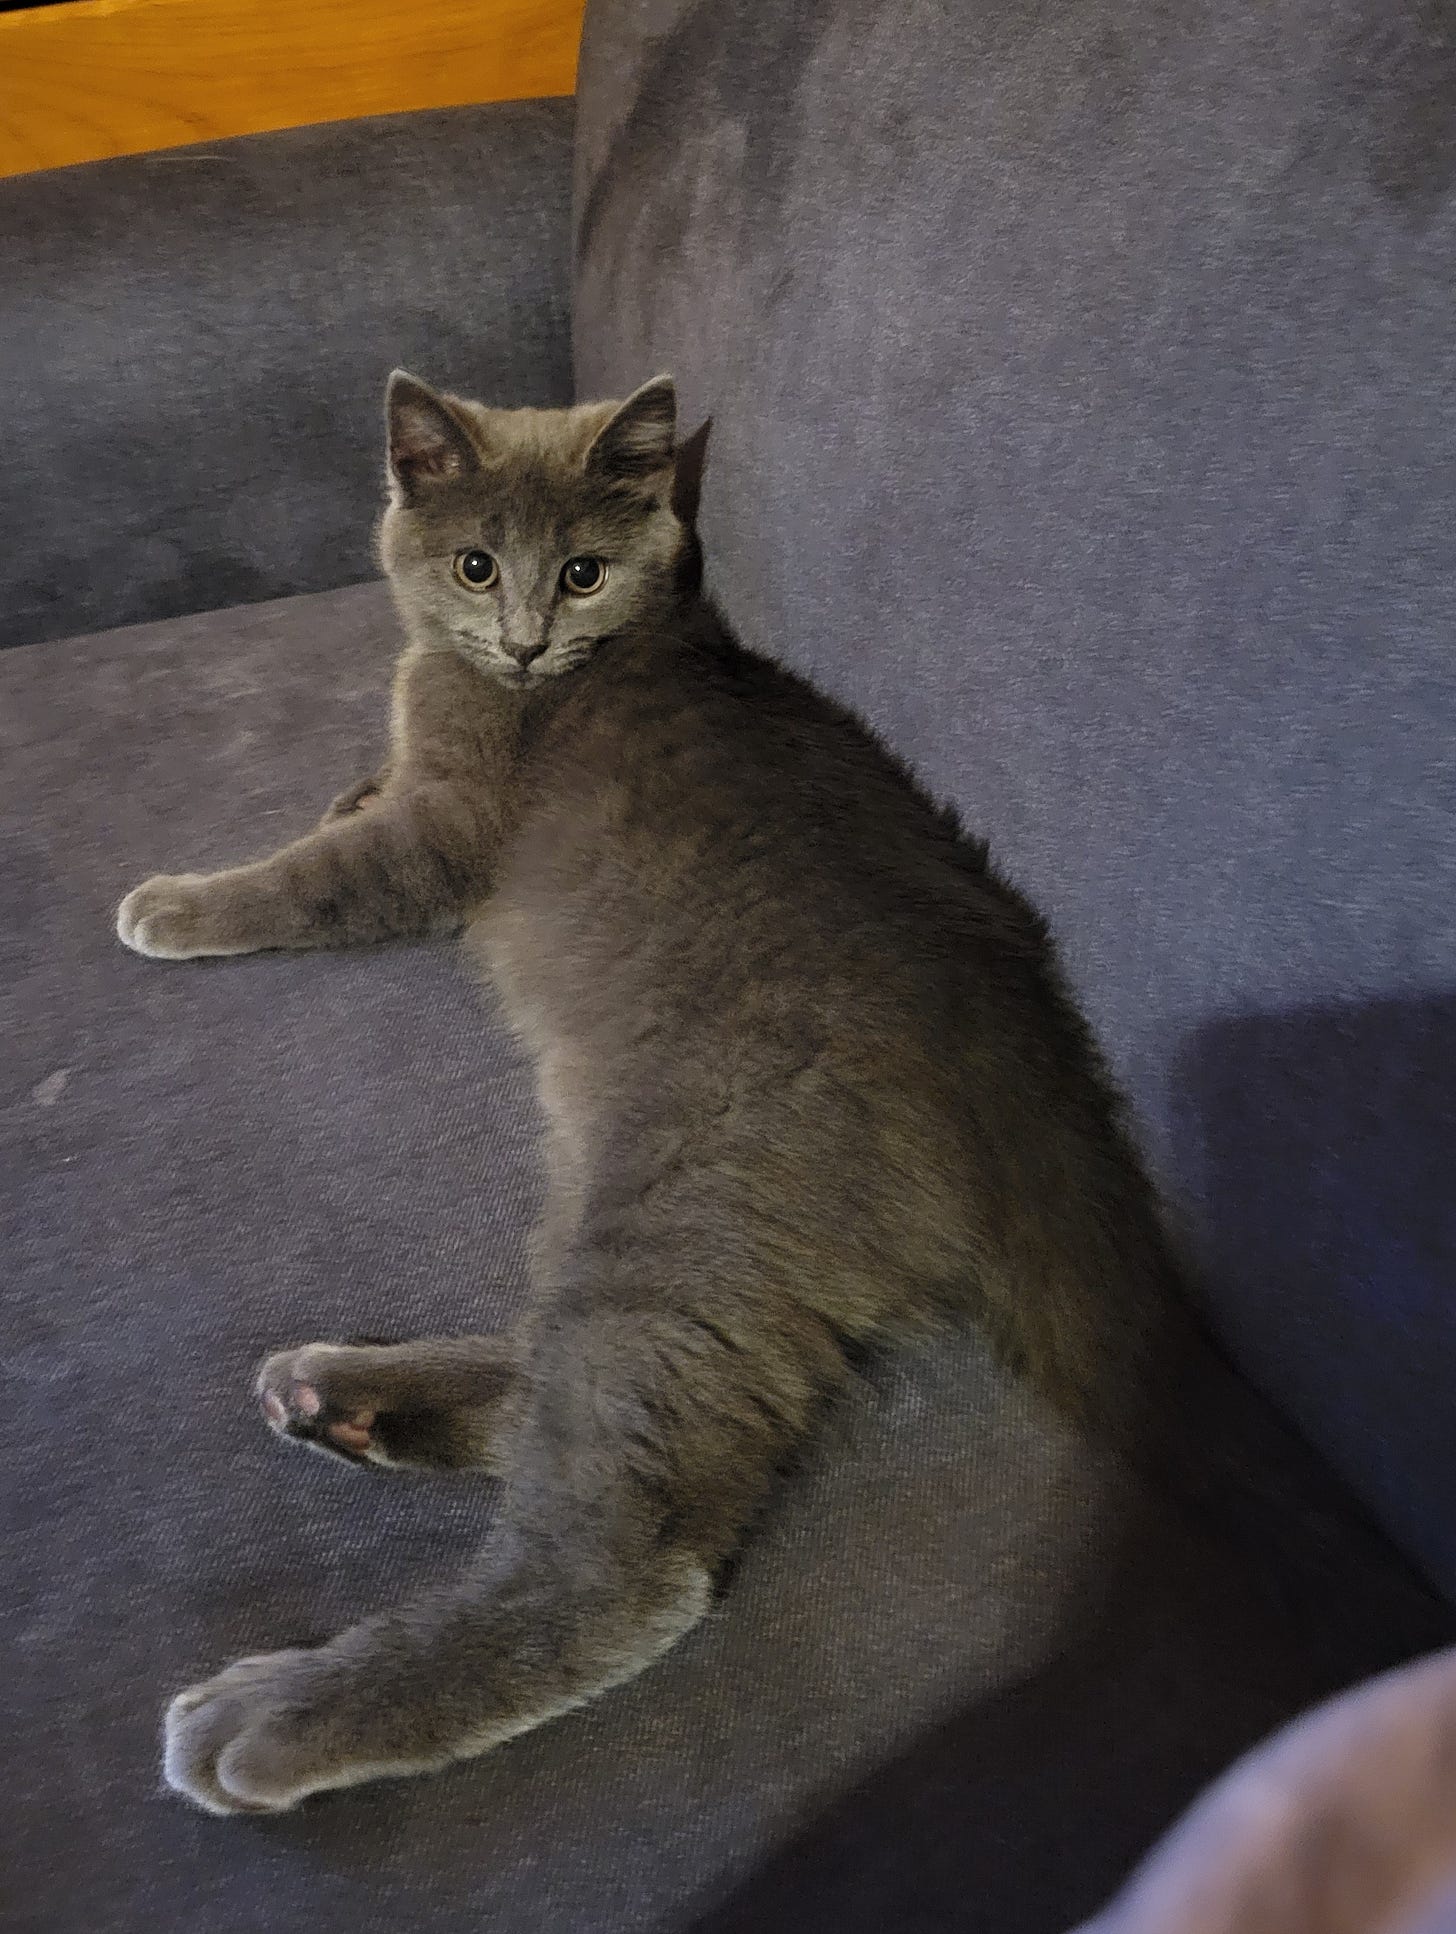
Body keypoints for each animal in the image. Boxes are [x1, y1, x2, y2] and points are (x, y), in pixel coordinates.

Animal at [119, 373, 1446, 1810]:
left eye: (580, 571)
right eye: (477, 562)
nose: (525, 639)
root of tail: (1038, 1063)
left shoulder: (448, 829)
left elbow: (323, 874)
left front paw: (175, 901)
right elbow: (360, 797)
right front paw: (336, 784)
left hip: (696, 1203)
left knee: (623, 1549)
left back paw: (275, 1712)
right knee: (558, 1397)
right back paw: (343, 1396)